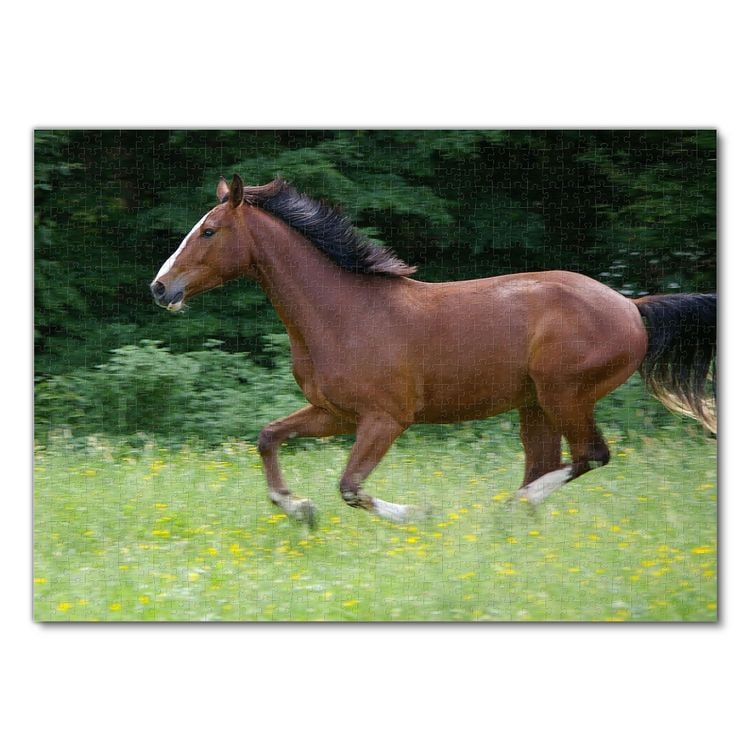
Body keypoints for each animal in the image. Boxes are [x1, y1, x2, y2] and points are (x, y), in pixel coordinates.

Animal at [150, 174, 716, 527]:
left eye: (209, 230)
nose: (160, 288)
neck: (343, 313)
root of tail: (631, 307)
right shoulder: (334, 414)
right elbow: (268, 438)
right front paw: (299, 510)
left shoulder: (385, 418)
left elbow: (350, 487)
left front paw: (421, 515)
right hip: (535, 405)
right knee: (549, 464)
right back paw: (512, 521)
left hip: (565, 396)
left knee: (589, 456)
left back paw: (507, 509)